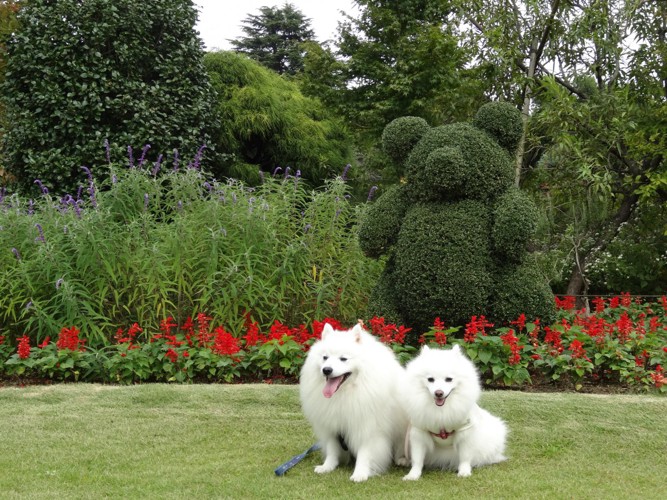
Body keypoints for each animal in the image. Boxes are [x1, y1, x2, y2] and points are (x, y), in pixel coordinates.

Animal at [300, 322, 410, 482]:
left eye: (343, 359)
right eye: (325, 357)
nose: (326, 370)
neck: (344, 393)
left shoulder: (367, 428)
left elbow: (365, 454)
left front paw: (360, 473)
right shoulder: (332, 427)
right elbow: (332, 450)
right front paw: (328, 466)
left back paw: (402, 459)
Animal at [402, 344, 506, 480]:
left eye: (449, 379)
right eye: (430, 379)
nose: (439, 393)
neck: (441, 410)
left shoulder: (465, 431)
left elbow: (465, 457)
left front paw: (464, 472)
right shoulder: (419, 431)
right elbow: (417, 458)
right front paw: (413, 475)